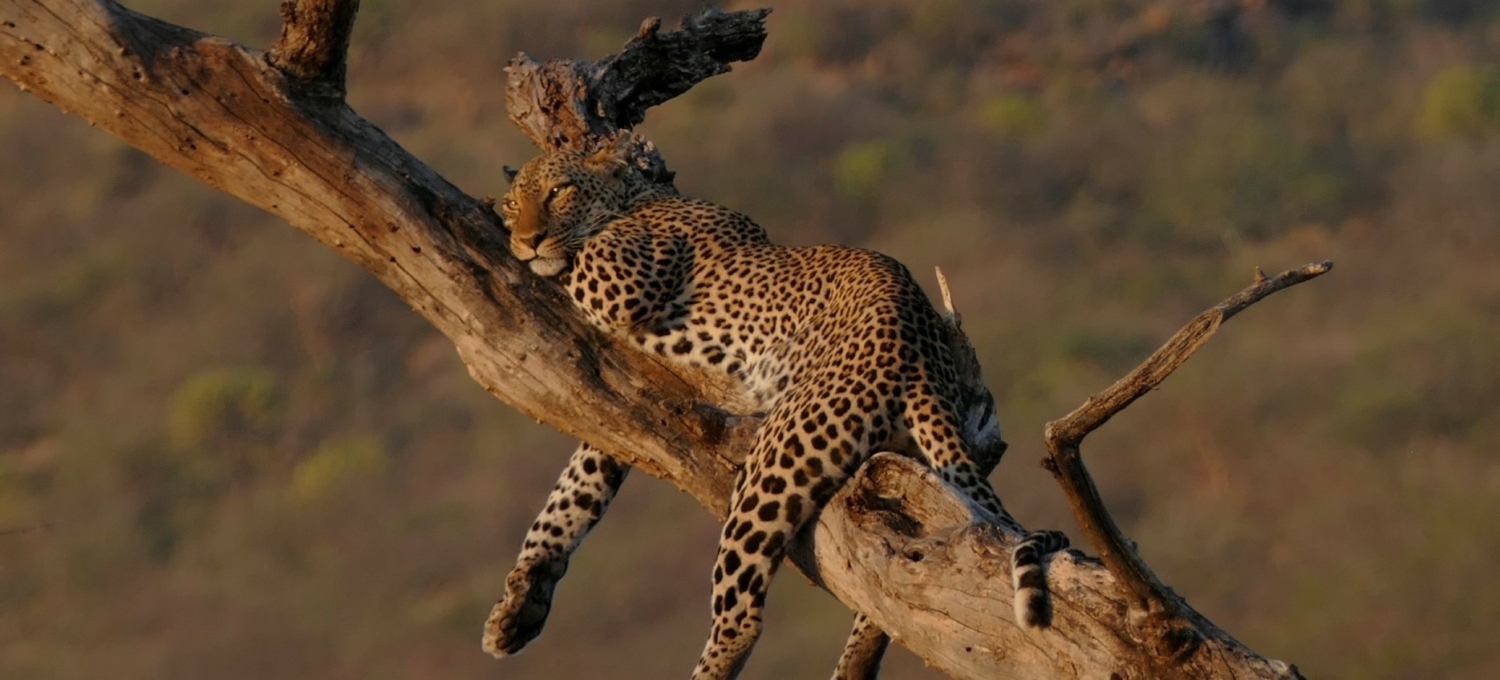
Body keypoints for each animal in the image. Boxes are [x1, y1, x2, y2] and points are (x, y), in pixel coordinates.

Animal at [480, 144, 1068, 678]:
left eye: (559, 192)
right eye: (517, 201)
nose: (526, 237)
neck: (637, 197)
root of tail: (920, 356)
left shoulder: (622, 280)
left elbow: (572, 262)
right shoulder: (619, 414)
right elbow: (569, 498)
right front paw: (518, 605)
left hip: (777, 456)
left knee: (743, 613)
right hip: (909, 477)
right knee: (900, 575)